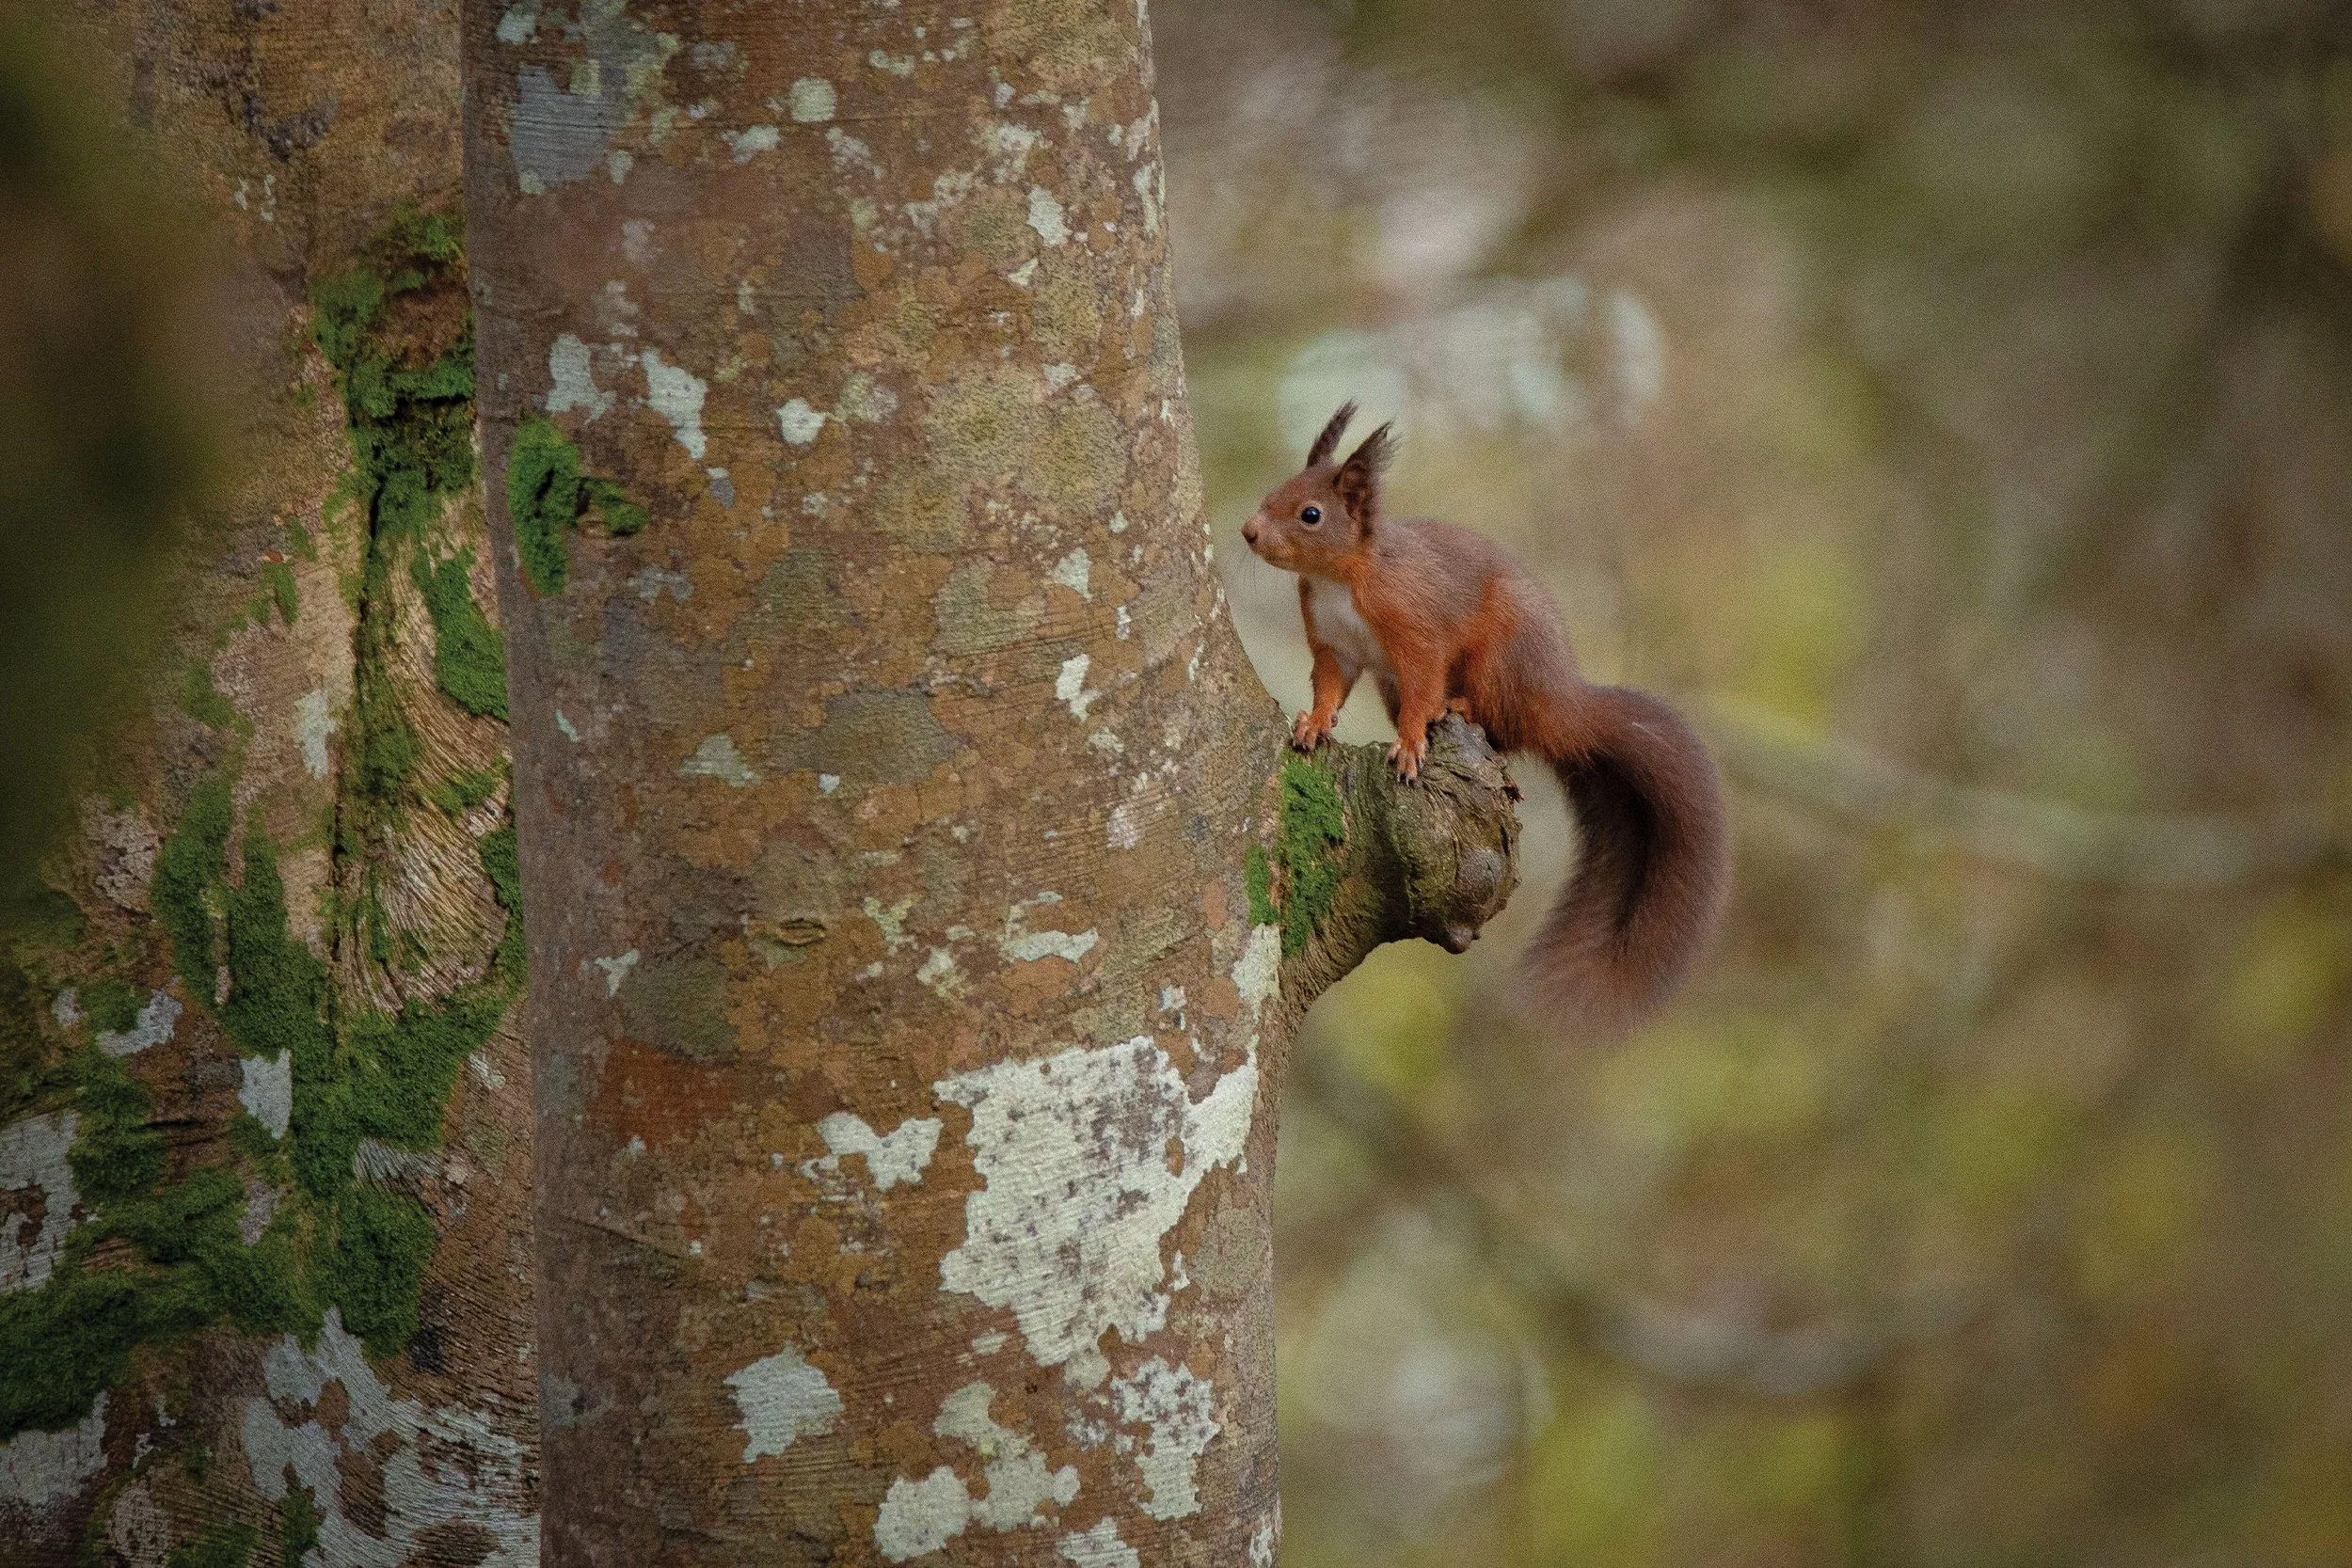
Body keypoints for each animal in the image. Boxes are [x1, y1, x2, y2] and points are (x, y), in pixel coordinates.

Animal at [1241, 402, 1729, 1033]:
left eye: (1311, 514)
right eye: (1276, 490)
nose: (1249, 531)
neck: (1341, 577)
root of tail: (1559, 709)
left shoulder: (1416, 631)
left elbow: (1423, 681)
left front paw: (1410, 745)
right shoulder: (1335, 648)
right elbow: (1329, 688)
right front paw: (1313, 723)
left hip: (1502, 655)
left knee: (1499, 721)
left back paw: (1456, 708)